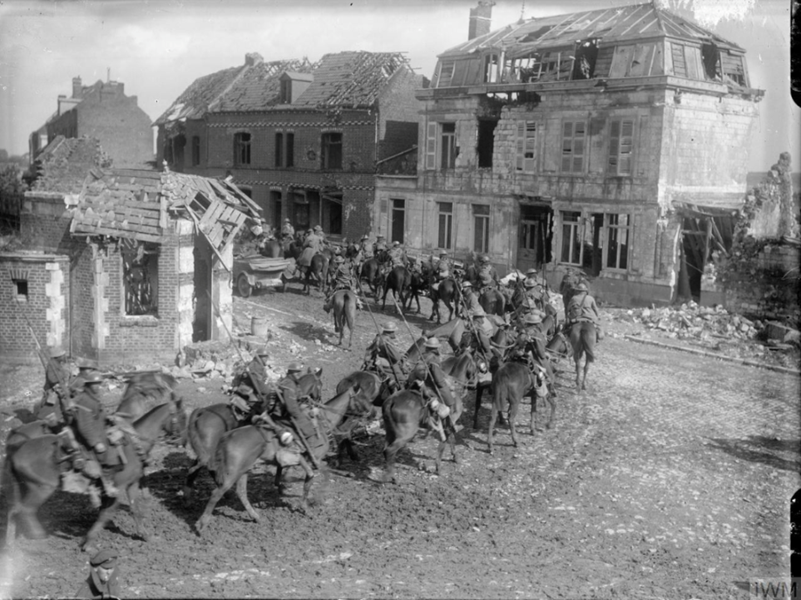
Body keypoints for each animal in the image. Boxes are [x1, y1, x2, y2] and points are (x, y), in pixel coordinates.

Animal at [3, 398, 187, 552]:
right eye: (182, 416)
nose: (184, 441)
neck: (133, 445)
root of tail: (16, 449)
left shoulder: (132, 484)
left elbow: (134, 509)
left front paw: (145, 535)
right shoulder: (118, 488)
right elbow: (105, 514)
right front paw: (89, 543)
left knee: (14, 510)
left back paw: (12, 543)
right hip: (41, 489)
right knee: (25, 510)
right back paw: (38, 537)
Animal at [195, 386, 370, 532]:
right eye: (361, 399)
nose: (370, 412)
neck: (322, 422)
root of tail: (227, 436)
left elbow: (282, 474)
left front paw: (282, 488)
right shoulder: (314, 460)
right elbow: (314, 478)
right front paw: (309, 504)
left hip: (243, 471)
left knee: (241, 493)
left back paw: (256, 517)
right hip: (232, 473)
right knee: (216, 493)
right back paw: (201, 524)